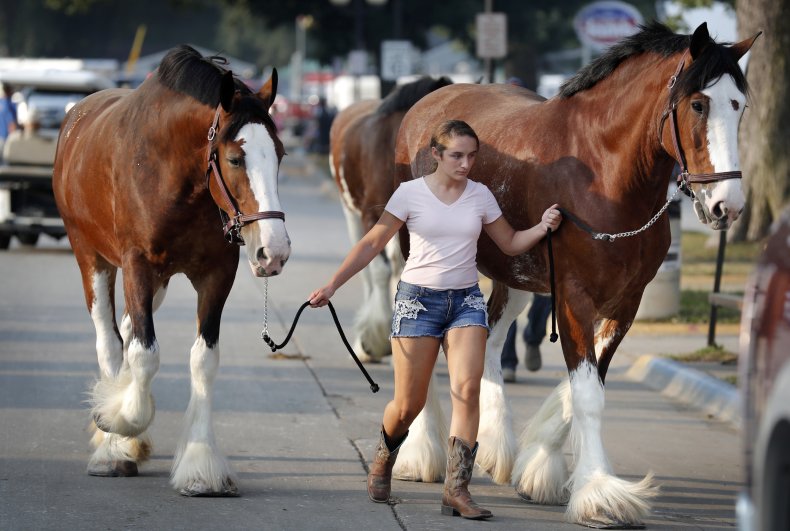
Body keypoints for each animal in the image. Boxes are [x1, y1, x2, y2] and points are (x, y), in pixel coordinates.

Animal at [54, 45, 292, 498]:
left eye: (281, 155)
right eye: (235, 158)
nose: (274, 251)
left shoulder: (216, 274)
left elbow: (203, 360)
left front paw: (201, 466)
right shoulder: (137, 267)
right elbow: (144, 355)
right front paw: (118, 421)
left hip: (160, 280)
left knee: (126, 330)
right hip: (92, 258)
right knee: (110, 342)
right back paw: (112, 447)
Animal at [392, 23, 756, 528]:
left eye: (739, 105)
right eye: (699, 103)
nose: (728, 206)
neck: (603, 175)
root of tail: (431, 102)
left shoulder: (624, 304)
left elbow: (588, 382)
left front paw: (541, 465)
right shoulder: (573, 296)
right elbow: (586, 394)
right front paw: (600, 492)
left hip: (515, 274)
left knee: (491, 338)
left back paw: (497, 447)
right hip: (420, 259)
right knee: (421, 343)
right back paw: (420, 454)